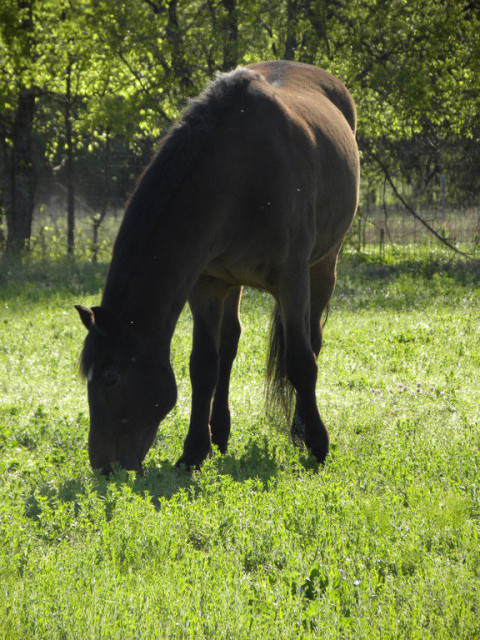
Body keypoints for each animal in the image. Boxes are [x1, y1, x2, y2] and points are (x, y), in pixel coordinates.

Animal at [75, 60, 360, 476]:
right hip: (231, 281)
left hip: (324, 266)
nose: (104, 467)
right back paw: (220, 432)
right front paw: (194, 451)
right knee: (229, 346)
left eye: (111, 379)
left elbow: (300, 361)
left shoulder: (292, 278)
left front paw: (317, 445)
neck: (240, 173)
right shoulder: (206, 283)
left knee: (312, 339)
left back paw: (298, 430)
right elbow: (204, 366)